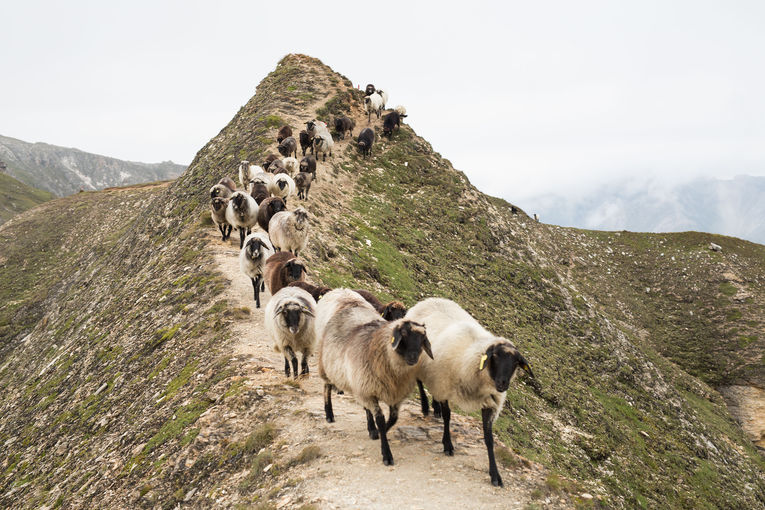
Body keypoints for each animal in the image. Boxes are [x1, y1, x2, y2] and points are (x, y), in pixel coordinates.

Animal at [314, 286, 432, 466]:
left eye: (422, 338)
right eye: (403, 334)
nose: (414, 357)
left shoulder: (393, 393)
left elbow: (393, 419)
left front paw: (378, 431)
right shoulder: (369, 388)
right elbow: (381, 420)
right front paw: (386, 453)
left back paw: (370, 427)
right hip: (328, 367)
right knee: (326, 387)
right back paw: (329, 414)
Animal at [402, 296, 536, 488]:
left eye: (516, 362)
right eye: (495, 356)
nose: (503, 384)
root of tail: (430, 299)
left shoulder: (490, 404)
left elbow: (489, 439)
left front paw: (495, 475)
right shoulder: (444, 386)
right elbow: (448, 417)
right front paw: (447, 445)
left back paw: (434, 407)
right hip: (417, 361)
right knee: (420, 383)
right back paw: (426, 407)